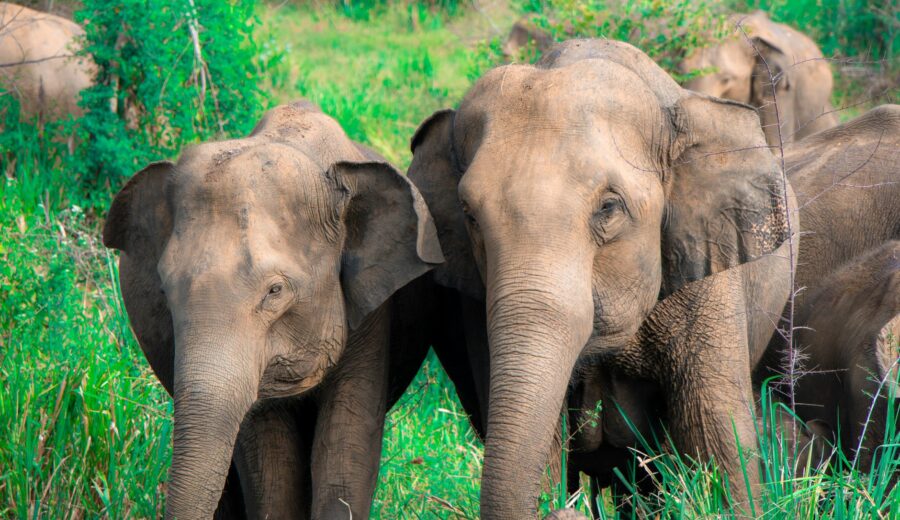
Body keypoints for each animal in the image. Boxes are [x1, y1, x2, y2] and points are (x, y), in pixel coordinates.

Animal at [408, 38, 796, 518]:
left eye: (609, 208)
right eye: (469, 216)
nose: (566, 510)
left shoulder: (707, 277)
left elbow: (718, 439)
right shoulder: (476, 308)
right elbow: (542, 445)